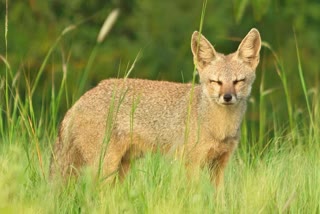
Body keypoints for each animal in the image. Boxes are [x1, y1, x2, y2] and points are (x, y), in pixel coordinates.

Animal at [48, 27, 262, 186]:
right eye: (216, 82)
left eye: (238, 81)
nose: (227, 97)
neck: (219, 129)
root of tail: (80, 100)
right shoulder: (191, 164)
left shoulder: (219, 166)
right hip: (105, 167)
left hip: (121, 169)